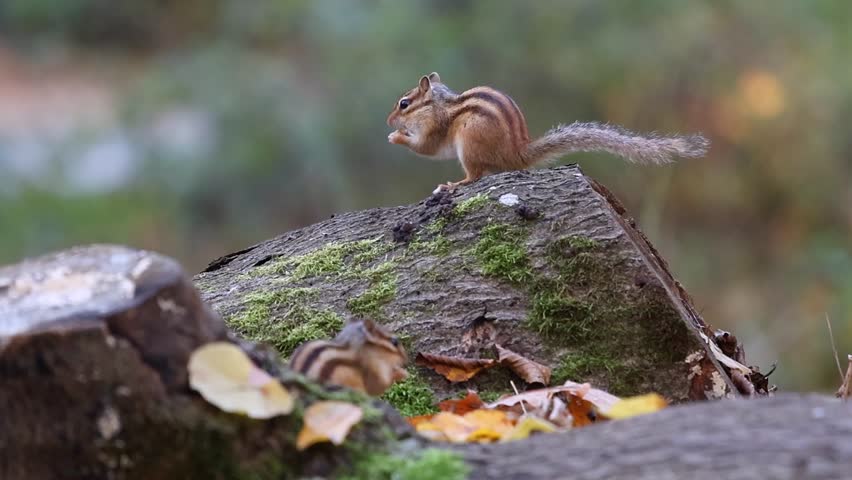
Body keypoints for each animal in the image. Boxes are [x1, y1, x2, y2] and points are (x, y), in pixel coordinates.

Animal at [387, 72, 709, 191]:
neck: (440, 105)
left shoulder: (435, 129)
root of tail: (517, 153)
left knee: (475, 176)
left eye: (404, 104)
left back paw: (453, 185)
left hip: (469, 144)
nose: (389, 121)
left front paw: (396, 137)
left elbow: (426, 148)